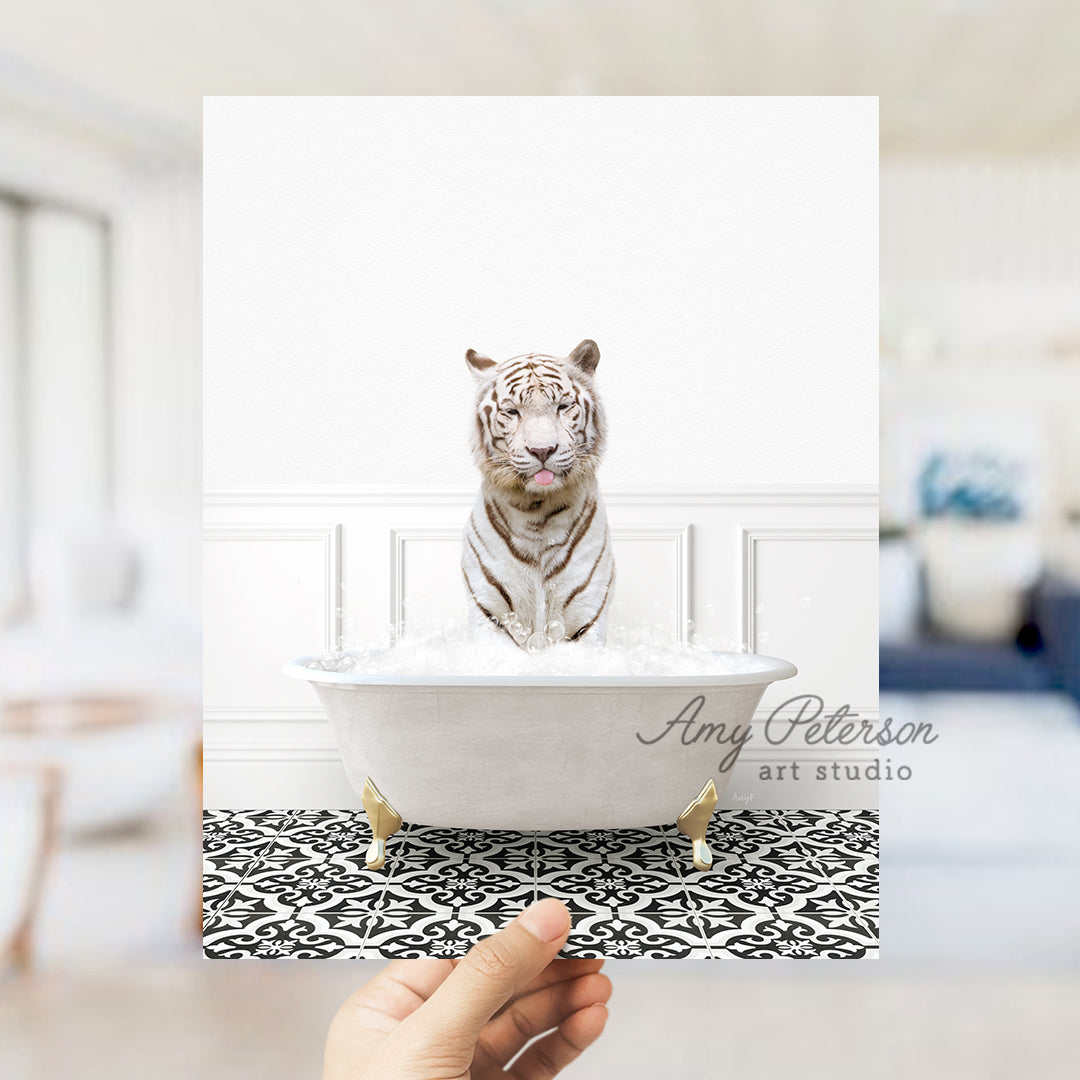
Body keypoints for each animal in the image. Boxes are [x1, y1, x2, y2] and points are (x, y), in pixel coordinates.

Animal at [462, 336, 617, 643]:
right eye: (512, 411)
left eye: (563, 406)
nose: (542, 450)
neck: (537, 511)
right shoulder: (488, 613)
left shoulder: (586, 618)